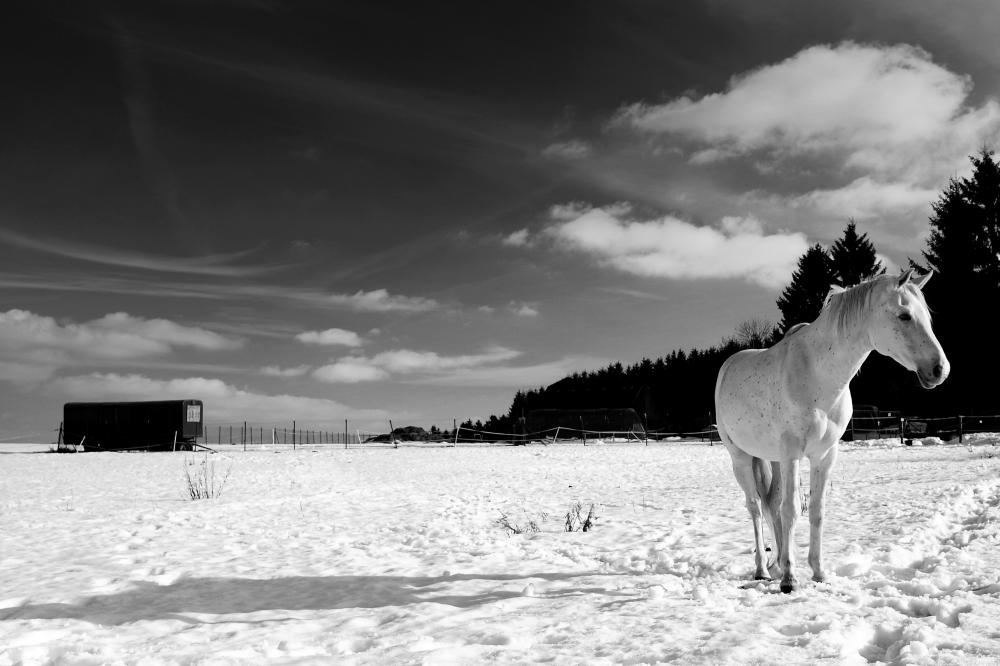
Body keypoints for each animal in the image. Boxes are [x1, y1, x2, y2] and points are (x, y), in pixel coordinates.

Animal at [716, 270, 948, 592]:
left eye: (927, 317)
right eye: (904, 316)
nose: (940, 369)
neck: (818, 373)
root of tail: (728, 366)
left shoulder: (824, 455)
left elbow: (815, 510)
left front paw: (817, 572)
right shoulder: (792, 454)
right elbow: (791, 510)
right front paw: (790, 579)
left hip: (772, 458)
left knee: (771, 504)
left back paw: (777, 563)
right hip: (740, 458)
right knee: (755, 507)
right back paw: (763, 569)